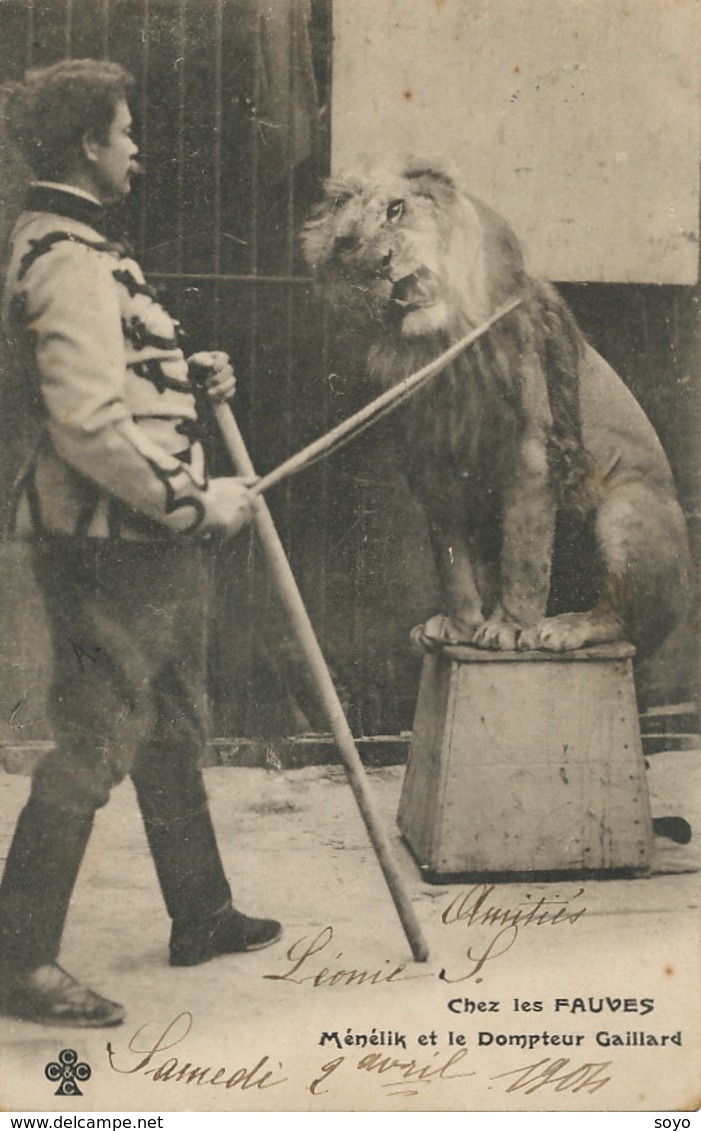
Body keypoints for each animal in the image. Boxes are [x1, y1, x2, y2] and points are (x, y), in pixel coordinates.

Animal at [300, 154, 691, 660]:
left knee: (627, 621)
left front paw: (509, 628)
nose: (383, 263)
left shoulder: (531, 455)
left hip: (625, 510)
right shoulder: (433, 464)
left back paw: (566, 626)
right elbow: (452, 563)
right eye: (347, 243)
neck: (444, 344)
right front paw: (460, 625)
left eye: (395, 209)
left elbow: (523, 559)